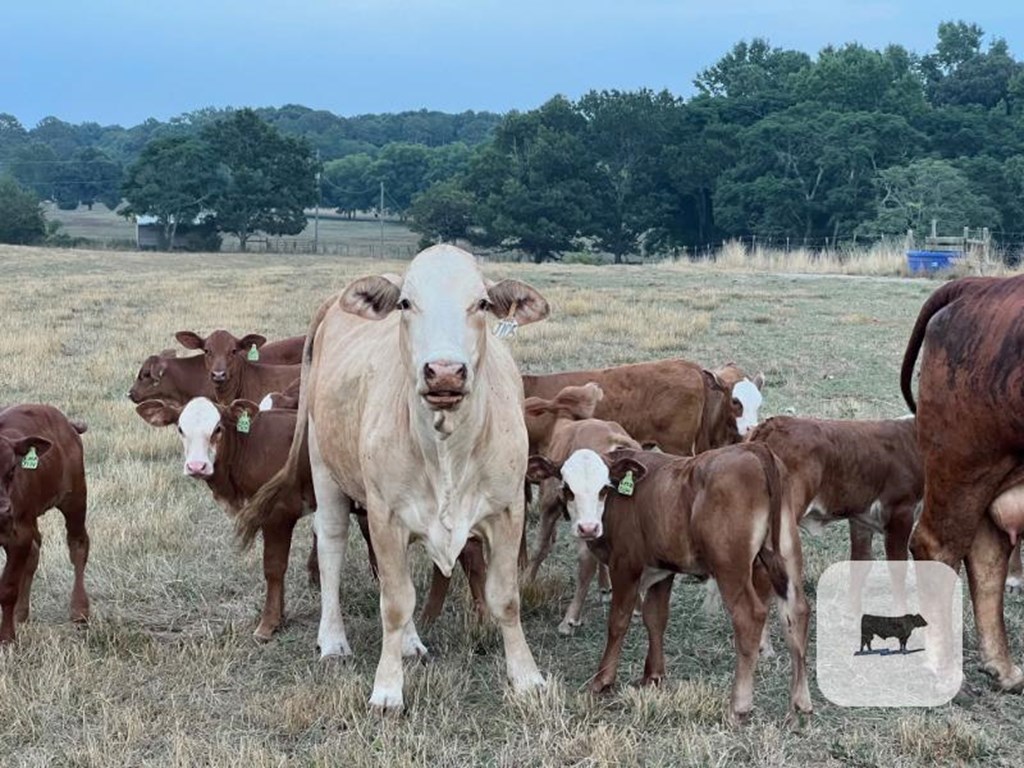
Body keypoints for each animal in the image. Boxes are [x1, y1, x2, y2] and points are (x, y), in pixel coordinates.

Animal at [0, 403, 90, 643]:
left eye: (12, 470)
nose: (4, 510)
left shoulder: (17, 535)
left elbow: (8, 588)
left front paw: (7, 639)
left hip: (75, 497)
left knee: (78, 545)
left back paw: (80, 611)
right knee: (34, 550)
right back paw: (21, 613)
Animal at [238, 243, 548, 712]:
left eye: (480, 304)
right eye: (405, 304)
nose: (444, 371)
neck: (446, 448)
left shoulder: (508, 511)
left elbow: (505, 599)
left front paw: (527, 677)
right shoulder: (387, 516)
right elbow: (396, 604)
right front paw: (387, 689)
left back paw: (410, 644)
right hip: (325, 470)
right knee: (332, 548)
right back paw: (333, 639)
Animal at [528, 444, 806, 720]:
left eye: (604, 489)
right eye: (567, 488)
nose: (588, 528)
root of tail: (753, 449)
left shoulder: (625, 566)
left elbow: (618, 621)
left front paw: (603, 680)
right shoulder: (661, 570)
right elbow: (655, 618)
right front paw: (653, 676)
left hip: (731, 566)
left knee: (749, 617)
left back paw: (739, 705)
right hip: (786, 553)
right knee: (797, 613)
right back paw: (801, 701)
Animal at [901, 274, 1024, 692]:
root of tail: (978, 283)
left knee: (987, 558)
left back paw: (1002, 668)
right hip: (965, 462)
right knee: (938, 546)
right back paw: (942, 667)